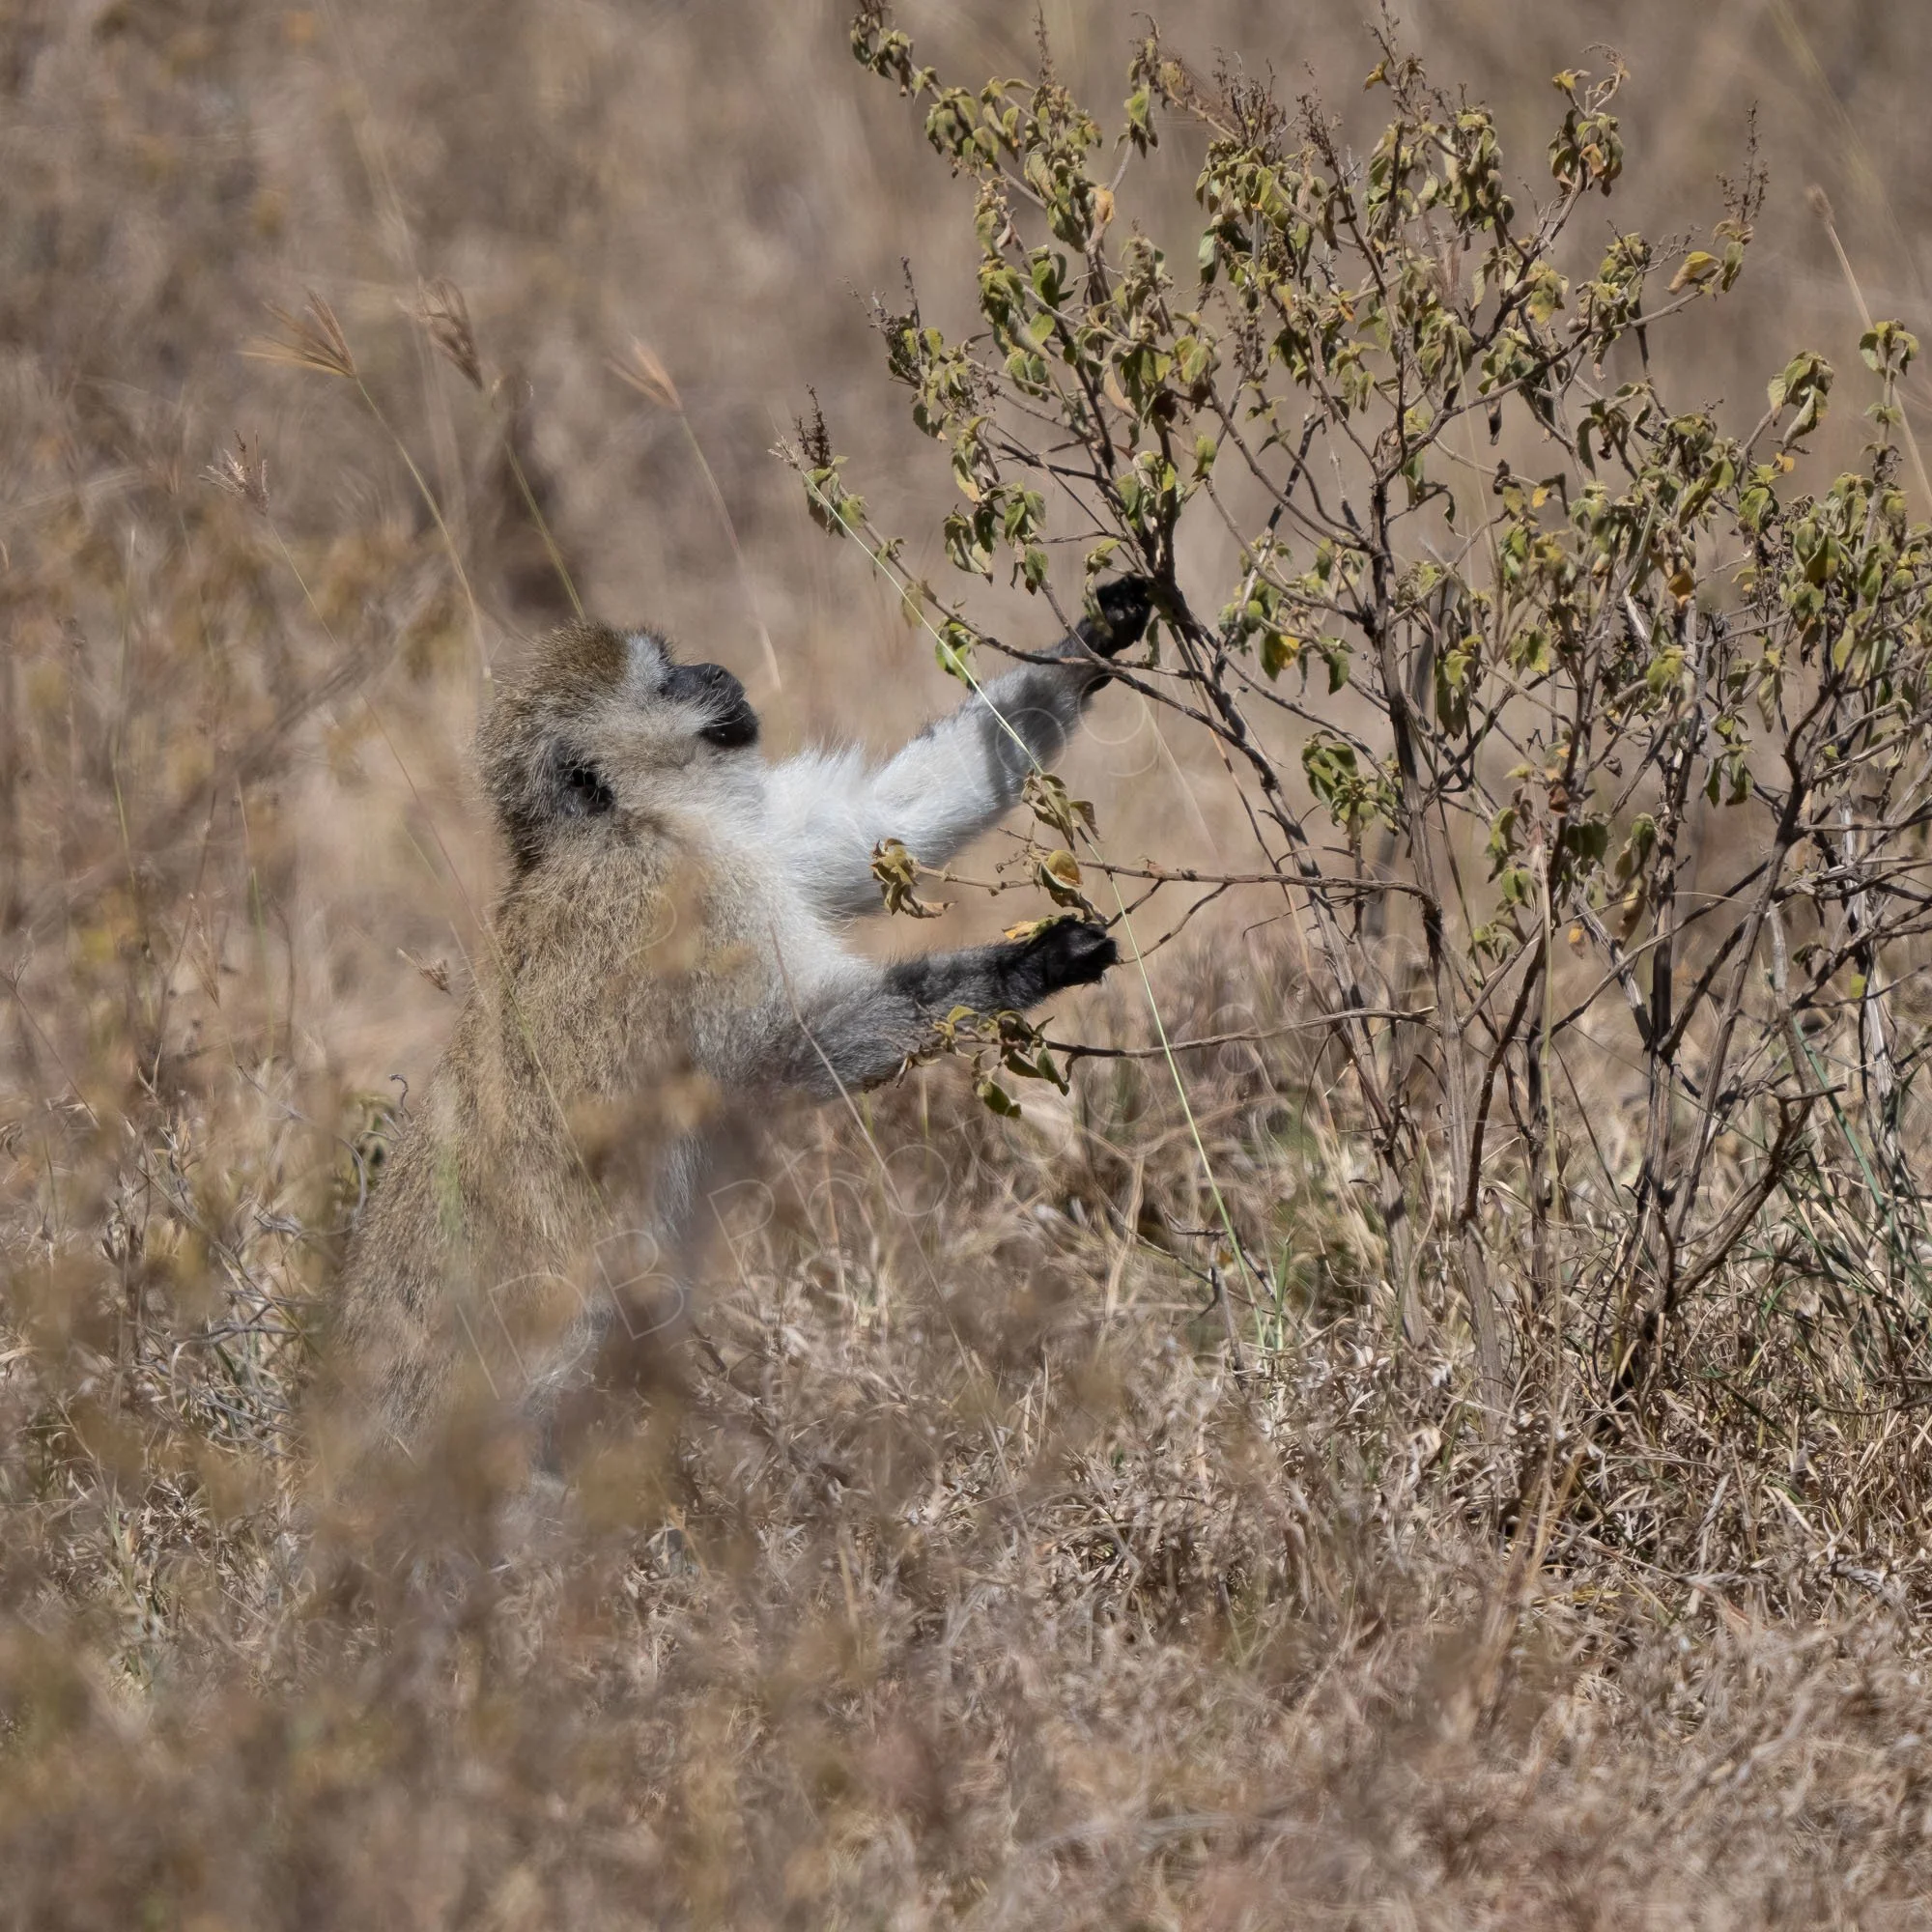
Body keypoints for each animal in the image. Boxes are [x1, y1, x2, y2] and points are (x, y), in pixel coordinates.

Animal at [322, 578, 1154, 1477]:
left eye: (674, 658)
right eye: (664, 681)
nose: (713, 669)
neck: (638, 818)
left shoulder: (746, 842)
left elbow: (883, 814)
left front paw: (1102, 629)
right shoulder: (684, 900)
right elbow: (785, 1051)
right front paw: (1033, 961)